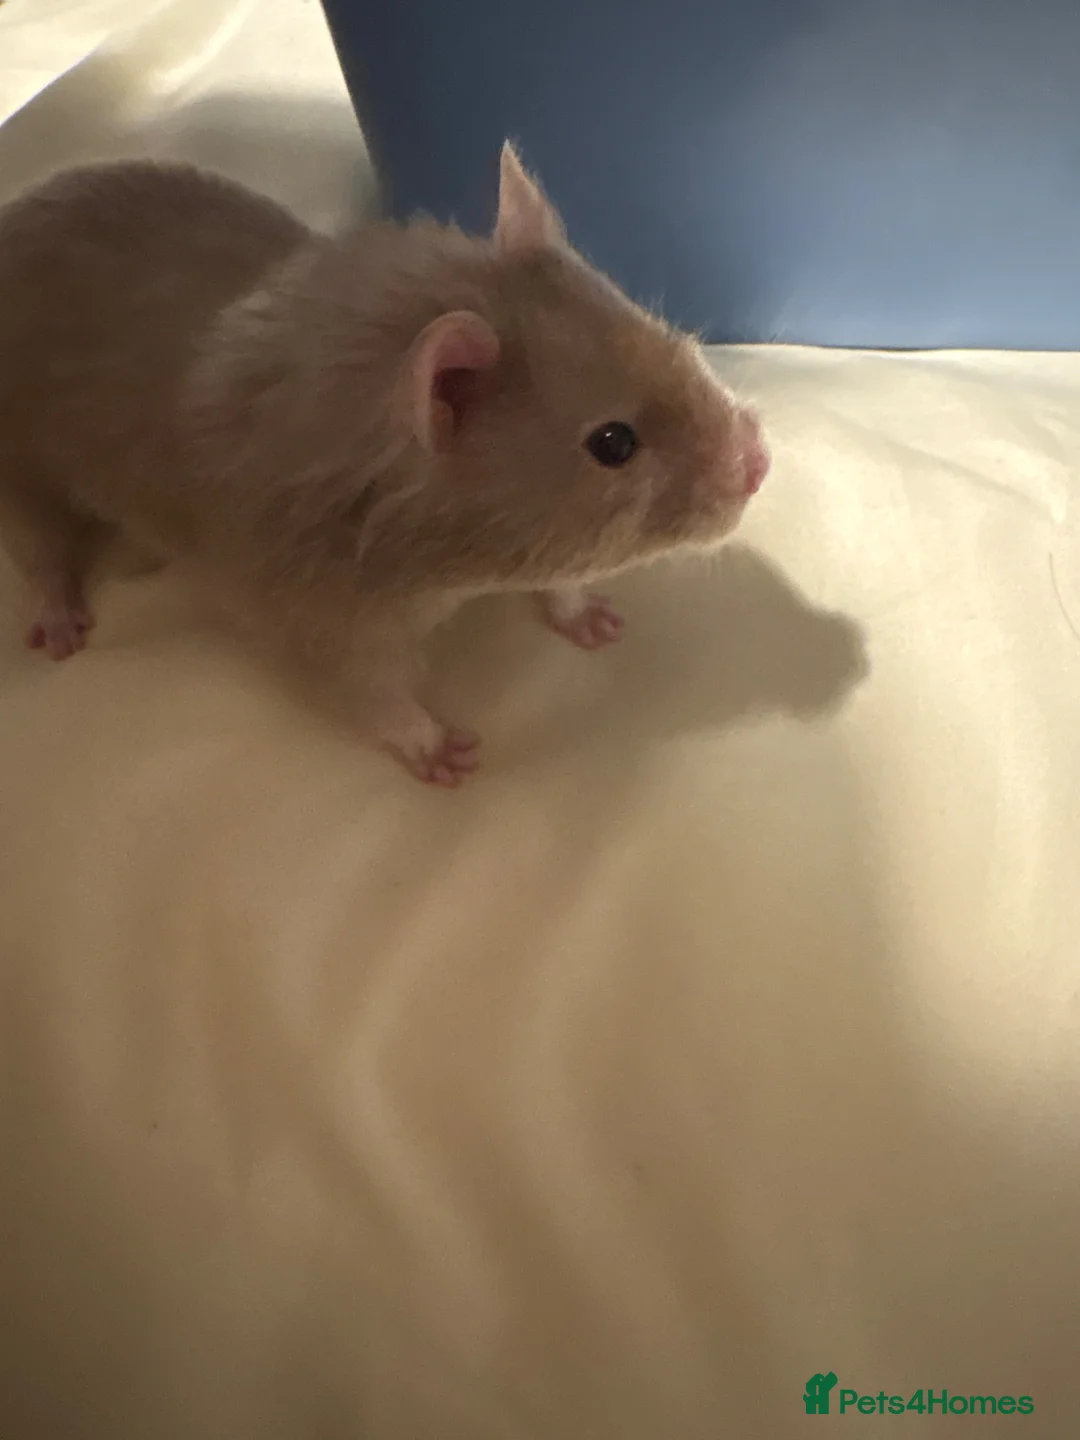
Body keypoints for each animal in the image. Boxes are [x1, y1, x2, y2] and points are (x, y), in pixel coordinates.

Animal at [0, 143, 769, 785]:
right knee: (34, 538)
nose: (757, 462)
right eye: (614, 443)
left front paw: (578, 610)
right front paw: (429, 742)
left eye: (674, 341)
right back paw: (56, 607)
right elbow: (355, 681)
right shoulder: (304, 592)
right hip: (19, 459)